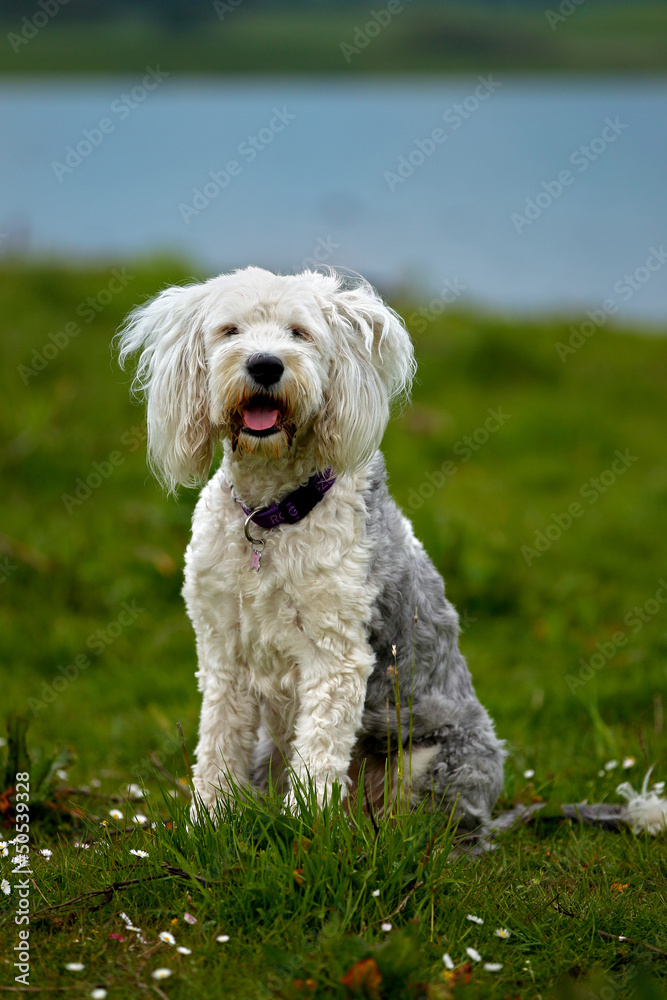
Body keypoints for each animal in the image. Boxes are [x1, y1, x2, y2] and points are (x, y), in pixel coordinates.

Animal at [120, 266, 506, 828]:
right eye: (230, 330)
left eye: (299, 333)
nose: (265, 364)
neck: (271, 516)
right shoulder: (222, 650)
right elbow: (217, 745)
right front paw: (209, 821)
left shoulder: (336, 652)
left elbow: (320, 754)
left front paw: (306, 829)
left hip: (436, 760)